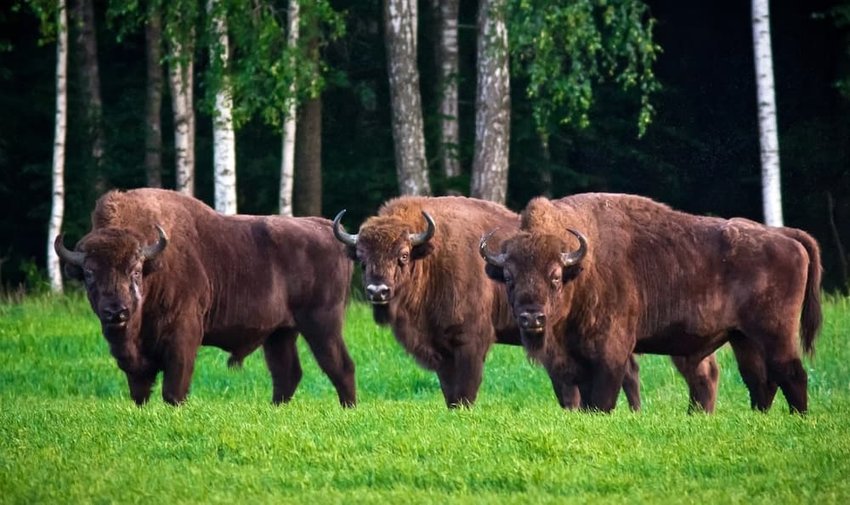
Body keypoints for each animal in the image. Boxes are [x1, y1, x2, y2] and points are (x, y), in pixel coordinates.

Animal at [55, 188, 354, 406]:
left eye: (136, 270)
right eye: (89, 273)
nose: (116, 312)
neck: (156, 265)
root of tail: (327, 228)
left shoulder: (183, 337)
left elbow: (174, 389)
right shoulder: (134, 359)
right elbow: (139, 390)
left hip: (322, 324)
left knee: (341, 366)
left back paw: (347, 408)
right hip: (280, 333)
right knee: (287, 373)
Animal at [480, 193, 820, 414]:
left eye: (555, 276)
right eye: (508, 277)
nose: (531, 318)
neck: (582, 269)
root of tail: (784, 236)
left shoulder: (610, 354)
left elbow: (601, 400)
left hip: (775, 333)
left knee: (791, 373)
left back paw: (799, 418)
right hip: (743, 338)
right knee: (759, 380)